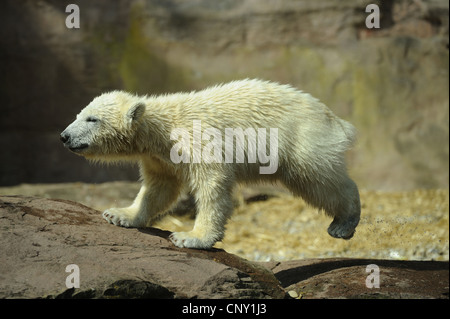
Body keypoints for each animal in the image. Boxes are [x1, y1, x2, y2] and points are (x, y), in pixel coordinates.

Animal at [60, 79, 362, 249]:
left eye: (92, 119)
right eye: (78, 114)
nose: (64, 136)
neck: (163, 127)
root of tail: (337, 120)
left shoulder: (197, 139)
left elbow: (212, 186)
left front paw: (191, 237)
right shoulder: (159, 157)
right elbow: (159, 188)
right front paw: (120, 214)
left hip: (301, 139)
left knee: (319, 180)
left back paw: (344, 223)